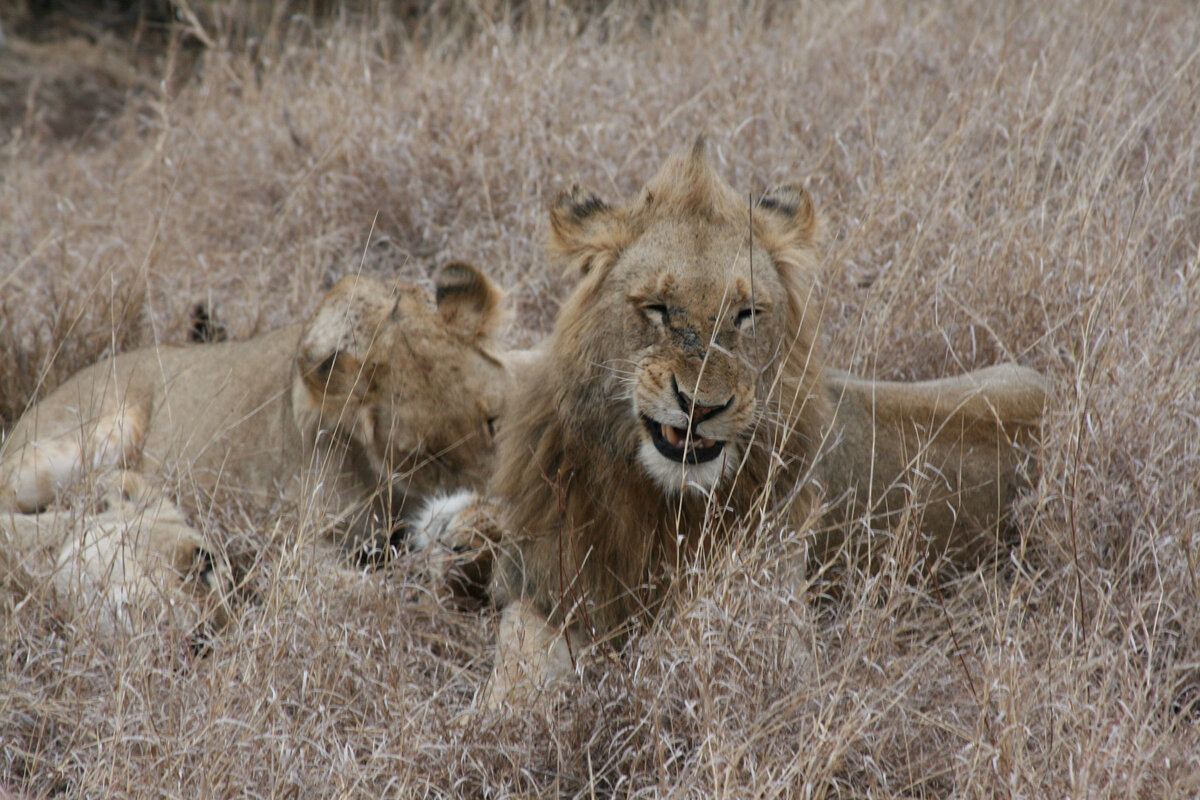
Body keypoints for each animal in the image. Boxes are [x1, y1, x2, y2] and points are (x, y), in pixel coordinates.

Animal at [0, 262, 508, 633]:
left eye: (493, 423)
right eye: (425, 455)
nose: (495, 508)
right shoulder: (291, 551)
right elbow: (366, 588)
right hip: (91, 436)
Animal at [472, 145, 1046, 705]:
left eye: (746, 314)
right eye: (657, 308)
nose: (701, 406)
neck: (658, 504)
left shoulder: (781, 626)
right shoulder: (544, 587)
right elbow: (514, 686)